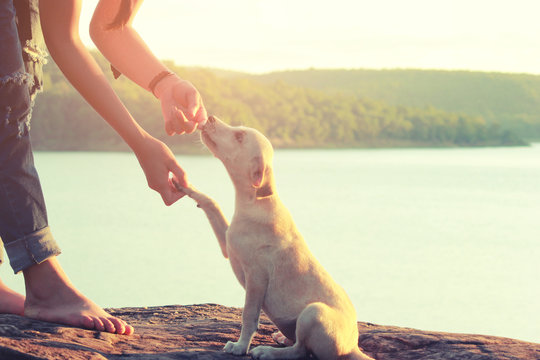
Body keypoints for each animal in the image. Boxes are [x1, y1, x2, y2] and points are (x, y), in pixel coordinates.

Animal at [177, 116, 372, 358]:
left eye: (239, 137)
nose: (210, 117)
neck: (256, 202)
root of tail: (352, 346)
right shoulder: (228, 244)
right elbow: (212, 204)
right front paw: (187, 186)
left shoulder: (256, 278)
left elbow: (249, 316)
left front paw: (240, 347)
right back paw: (280, 338)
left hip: (314, 312)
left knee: (300, 351)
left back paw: (267, 351)